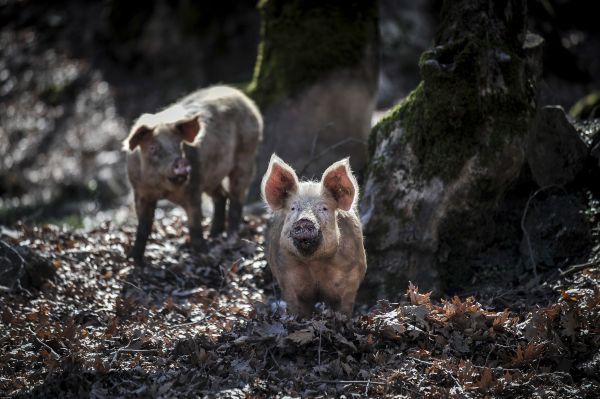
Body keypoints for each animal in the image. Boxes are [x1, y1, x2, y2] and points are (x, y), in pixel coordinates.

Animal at [123, 86, 262, 260]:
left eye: (179, 145)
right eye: (153, 147)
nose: (181, 161)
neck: (163, 190)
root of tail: (244, 98)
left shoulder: (194, 187)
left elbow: (195, 225)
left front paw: (204, 253)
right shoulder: (140, 192)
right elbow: (143, 226)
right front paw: (132, 258)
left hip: (246, 156)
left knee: (237, 198)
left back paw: (230, 238)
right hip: (212, 176)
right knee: (222, 196)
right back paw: (214, 234)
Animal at [262, 154, 366, 318]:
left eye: (323, 208)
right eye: (293, 208)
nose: (304, 221)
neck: (314, 263)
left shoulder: (351, 276)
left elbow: (344, 310)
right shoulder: (286, 278)